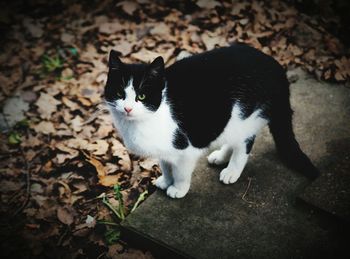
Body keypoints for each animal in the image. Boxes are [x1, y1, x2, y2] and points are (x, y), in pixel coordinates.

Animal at [104, 44, 320, 199]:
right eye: (119, 93)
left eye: (141, 96)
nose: (127, 108)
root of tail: (276, 66)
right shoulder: (164, 150)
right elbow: (166, 165)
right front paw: (165, 181)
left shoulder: (185, 150)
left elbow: (181, 172)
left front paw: (178, 189)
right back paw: (220, 156)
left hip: (246, 115)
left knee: (245, 144)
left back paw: (232, 171)